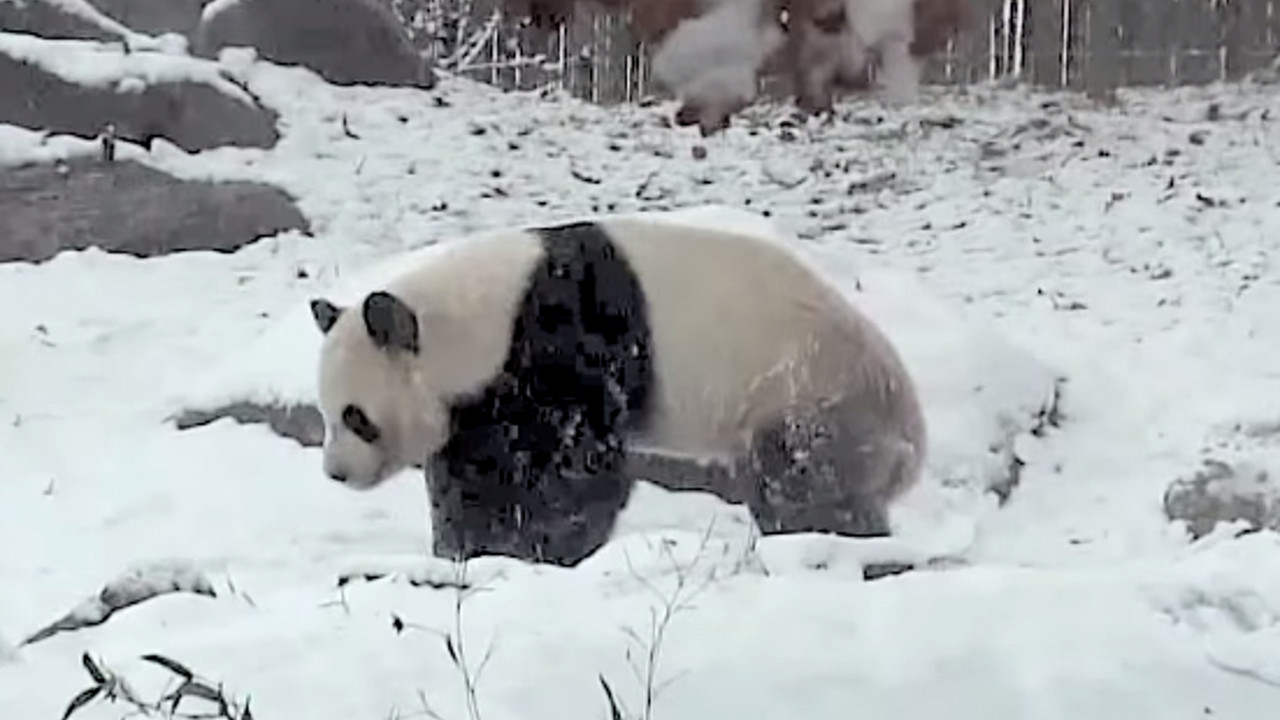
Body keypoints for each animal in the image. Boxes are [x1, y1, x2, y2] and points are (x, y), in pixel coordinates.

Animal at [308, 216, 927, 577]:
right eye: (326, 414)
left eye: (357, 417)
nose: (337, 473)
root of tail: (911, 434)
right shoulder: (481, 393)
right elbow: (471, 469)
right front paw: (466, 547)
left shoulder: (553, 347)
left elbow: (565, 464)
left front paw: (536, 547)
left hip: (806, 390)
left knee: (802, 477)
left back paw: (833, 542)